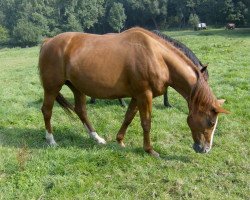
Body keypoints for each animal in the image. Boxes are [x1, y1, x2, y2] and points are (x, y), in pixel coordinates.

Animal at [39, 27, 229, 156]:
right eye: (211, 122)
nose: (205, 149)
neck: (157, 56)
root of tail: (48, 41)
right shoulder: (145, 95)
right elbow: (146, 123)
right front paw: (150, 150)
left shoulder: (137, 96)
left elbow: (128, 117)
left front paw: (120, 141)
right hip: (52, 88)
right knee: (47, 111)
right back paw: (51, 140)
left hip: (77, 87)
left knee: (81, 111)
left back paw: (97, 138)